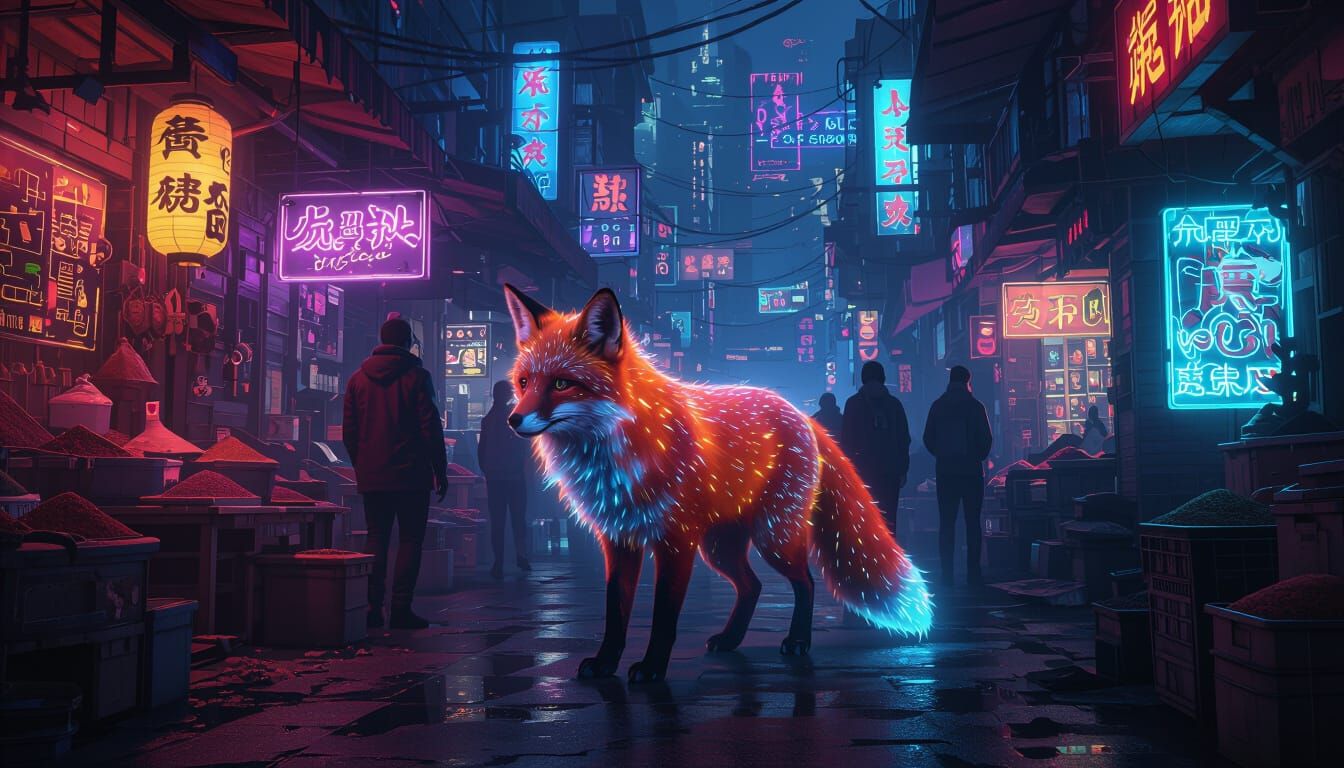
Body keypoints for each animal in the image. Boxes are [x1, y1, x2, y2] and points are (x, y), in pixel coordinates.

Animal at [503, 284, 932, 683]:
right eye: (524, 382)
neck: (616, 453)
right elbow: (615, 612)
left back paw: (797, 641)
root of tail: (802, 416)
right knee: (752, 586)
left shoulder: (676, 541)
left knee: (806, 582)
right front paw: (607, 663)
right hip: (720, 547)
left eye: (561, 384)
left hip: (772, 538)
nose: (513, 420)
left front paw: (652, 668)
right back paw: (730, 639)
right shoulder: (619, 539)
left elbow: (664, 615)